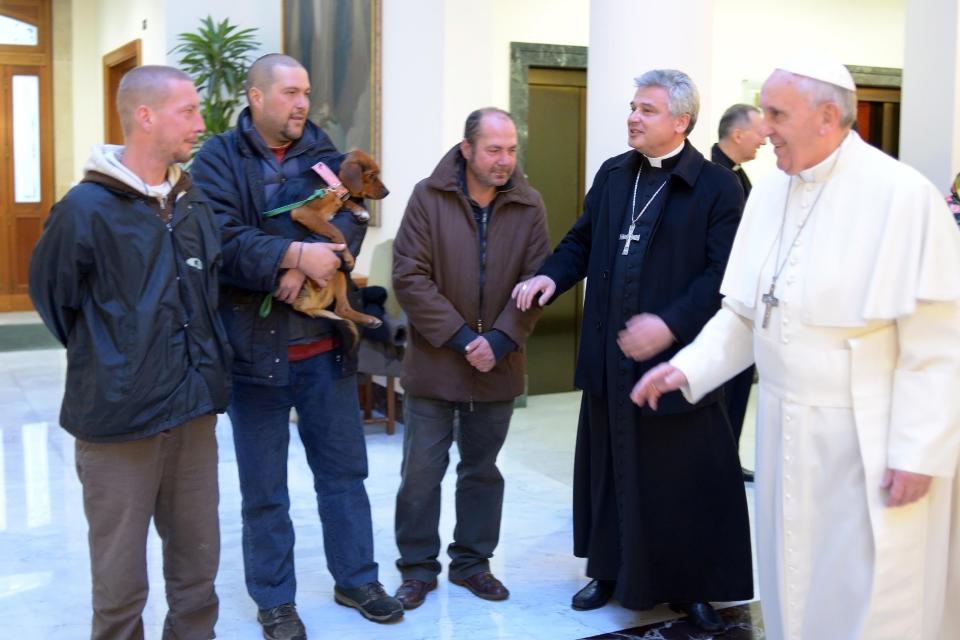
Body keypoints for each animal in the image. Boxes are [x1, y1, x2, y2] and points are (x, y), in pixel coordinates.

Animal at [288, 148, 390, 332]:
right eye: (371, 175)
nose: (388, 192)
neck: (331, 183)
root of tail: (304, 304)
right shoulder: (302, 212)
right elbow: (335, 230)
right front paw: (348, 255)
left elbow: (344, 200)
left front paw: (359, 211)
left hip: (339, 272)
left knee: (341, 309)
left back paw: (369, 320)